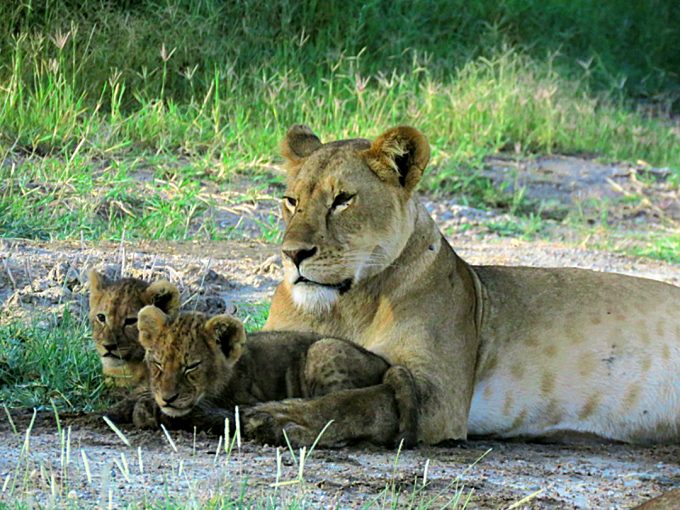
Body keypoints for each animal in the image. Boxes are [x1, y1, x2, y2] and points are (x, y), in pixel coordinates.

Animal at [134, 304, 418, 445]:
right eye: (158, 364)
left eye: (191, 366)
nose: (168, 398)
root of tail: (385, 364)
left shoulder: (243, 399)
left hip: (322, 348)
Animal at [240, 124, 680, 446]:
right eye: (291, 200)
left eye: (343, 199)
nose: (292, 253)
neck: (346, 305)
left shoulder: (442, 397)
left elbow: (358, 402)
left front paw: (282, 417)